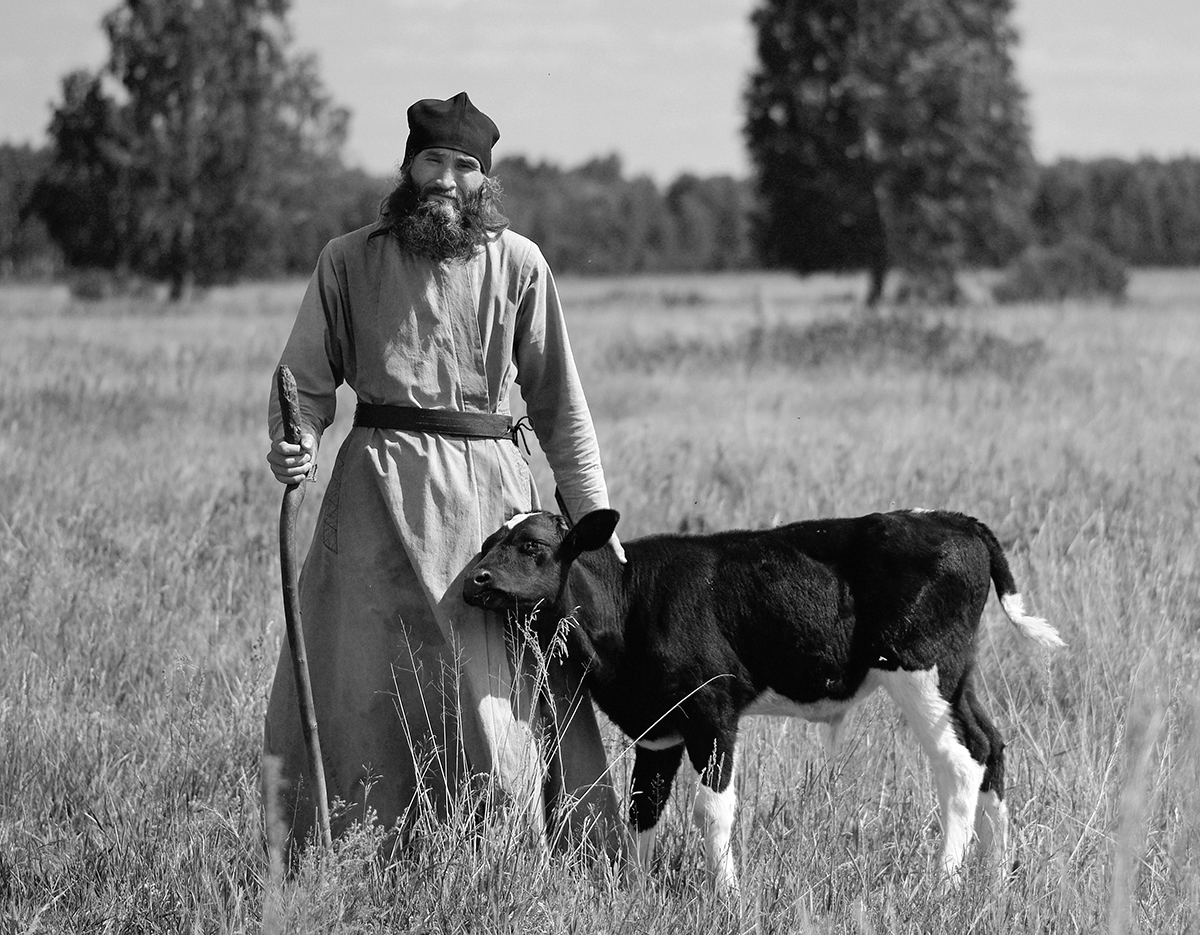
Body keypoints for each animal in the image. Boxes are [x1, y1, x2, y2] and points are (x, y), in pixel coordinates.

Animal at [458, 508, 1060, 897]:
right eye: (487, 543)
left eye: (532, 547)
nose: (474, 580)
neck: (629, 606)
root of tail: (952, 519)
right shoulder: (657, 726)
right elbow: (643, 807)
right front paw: (634, 893)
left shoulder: (713, 713)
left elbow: (711, 808)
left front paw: (725, 895)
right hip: (958, 678)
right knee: (990, 745)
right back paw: (995, 876)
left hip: (921, 669)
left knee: (960, 764)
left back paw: (945, 883)